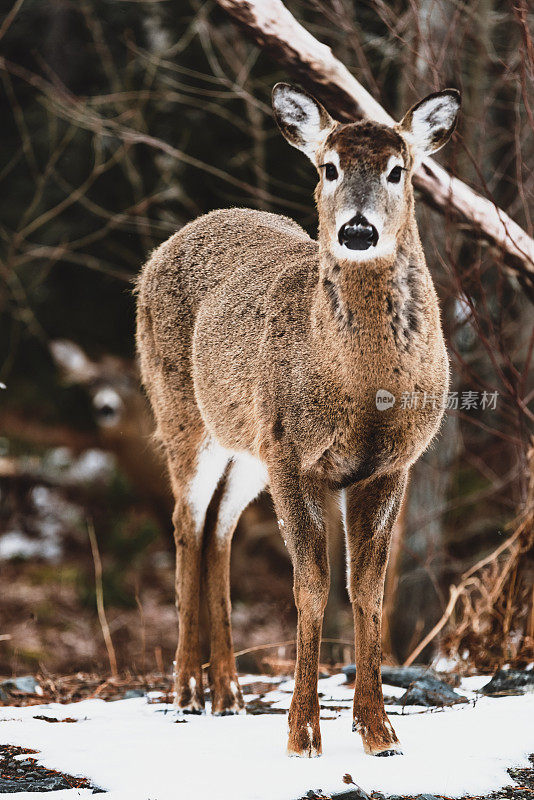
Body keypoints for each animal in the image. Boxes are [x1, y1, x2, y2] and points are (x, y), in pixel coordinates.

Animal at [136, 84, 462, 760]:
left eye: (398, 169)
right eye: (329, 168)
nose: (358, 229)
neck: (363, 394)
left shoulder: (388, 467)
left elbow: (366, 589)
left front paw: (378, 732)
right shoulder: (296, 456)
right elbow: (309, 588)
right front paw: (303, 733)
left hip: (247, 448)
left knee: (220, 527)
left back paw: (229, 693)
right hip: (182, 411)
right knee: (185, 520)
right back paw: (184, 691)